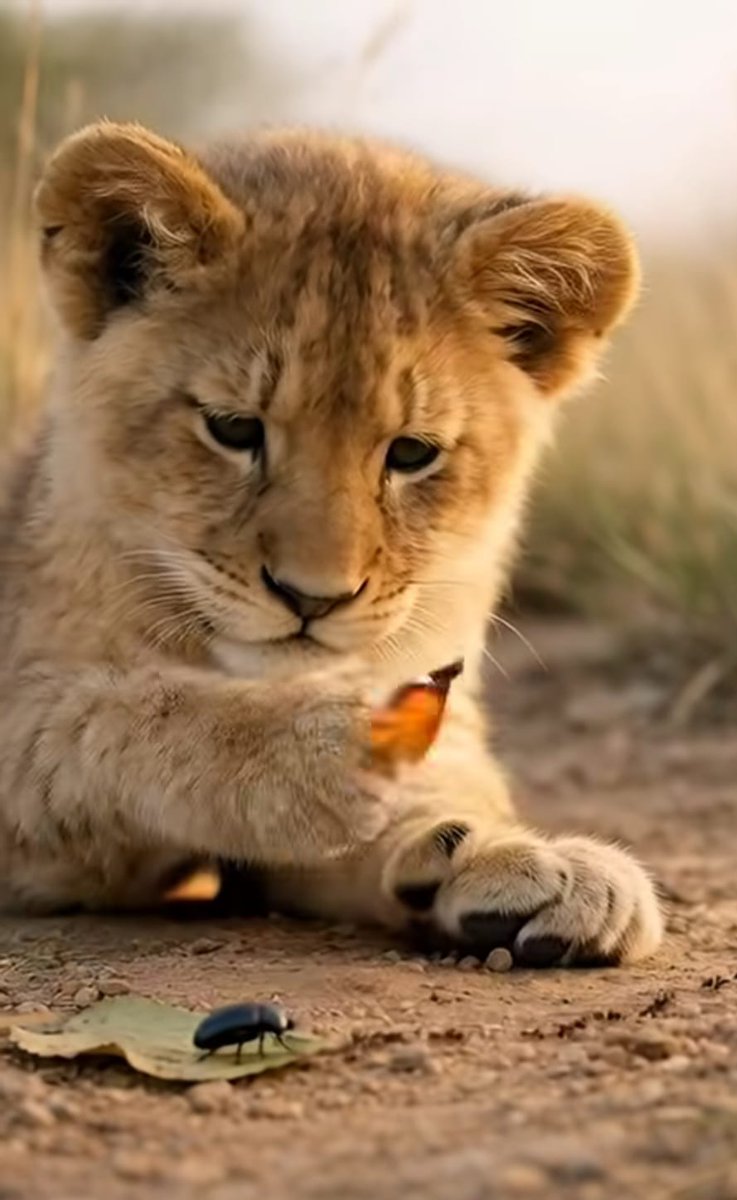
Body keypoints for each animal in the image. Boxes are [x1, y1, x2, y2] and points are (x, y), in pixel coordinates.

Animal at [0, 121, 662, 965]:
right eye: (233, 429)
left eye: (411, 453)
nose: (311, 598)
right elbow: (110, 716)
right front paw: (312, 752)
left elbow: (441, 800)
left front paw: (517, 862)